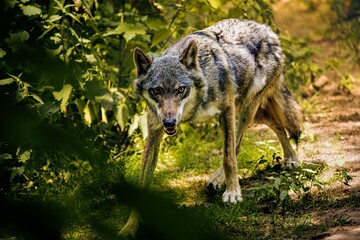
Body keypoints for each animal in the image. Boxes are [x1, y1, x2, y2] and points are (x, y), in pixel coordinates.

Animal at [119, 18, 302, 236]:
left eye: (181, 89)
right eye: (156, 91)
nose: (170, 123)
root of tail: (267, 29)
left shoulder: (226, 110)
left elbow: (228, 157)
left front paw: (233, 193)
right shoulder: (155, 131)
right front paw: (129, 227)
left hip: (245, 110)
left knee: (238, 144)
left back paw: (286, 160)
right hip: (252, 112)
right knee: (274, 124)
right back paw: (288, 157)